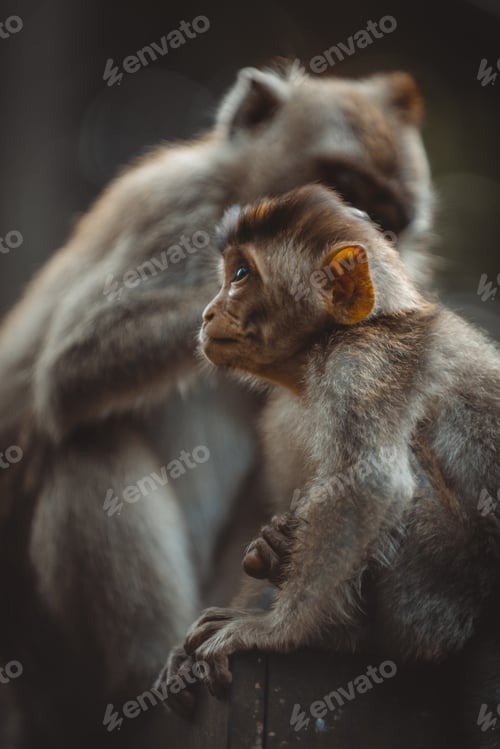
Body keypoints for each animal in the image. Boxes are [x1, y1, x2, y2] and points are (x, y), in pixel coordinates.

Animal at [0, 65, 434, 744]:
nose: (365, 248)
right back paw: (153, 669)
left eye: (389, 220)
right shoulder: (176, 212)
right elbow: (69, 367)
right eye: (338, 191)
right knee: (82, 441)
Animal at [165, 185, 500, 713]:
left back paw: (342, 636)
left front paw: (274, 630)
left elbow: (369, 481)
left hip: (440, 596)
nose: (207, 312)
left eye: (241, 275)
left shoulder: (360, 364)